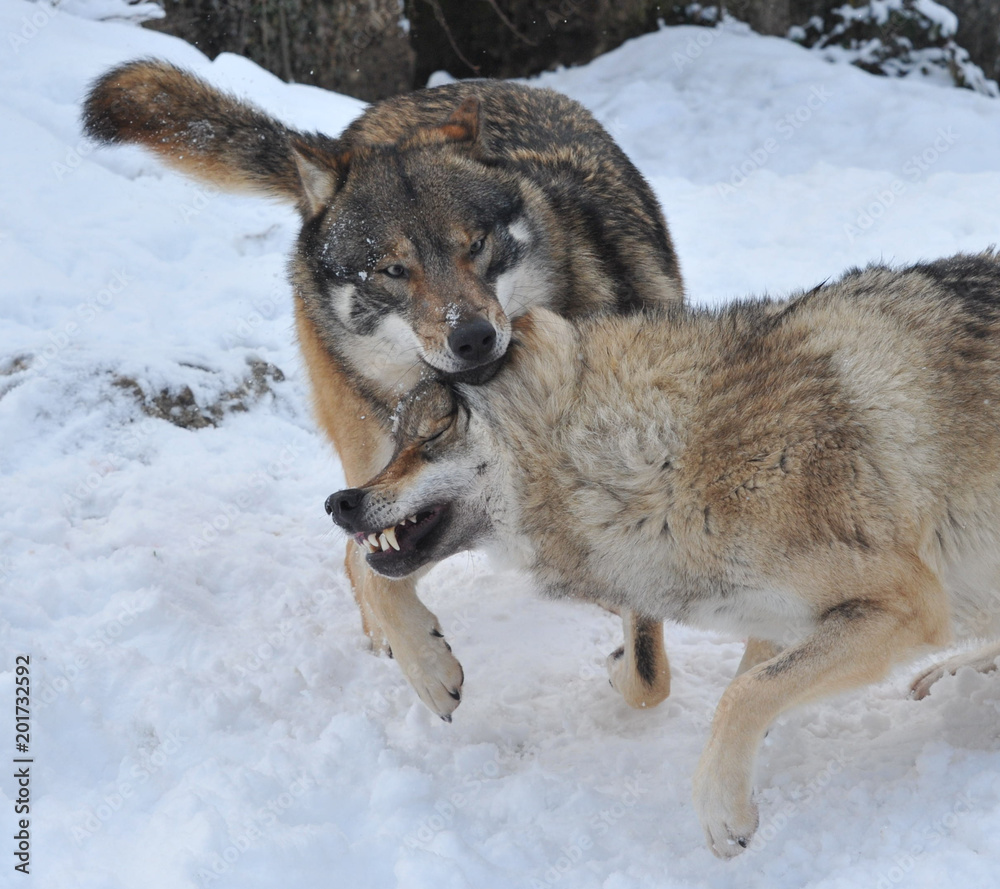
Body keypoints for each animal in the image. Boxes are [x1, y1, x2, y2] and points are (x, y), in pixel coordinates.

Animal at [82, 59, 683, 718]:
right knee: (358, 554)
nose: (473, 338)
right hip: (374, 446)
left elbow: (649, 675)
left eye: (475, 246)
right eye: (393, 270)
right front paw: (427, 665)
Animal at [327, 251, 1000, 855]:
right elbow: (738, 684)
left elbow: (742, 695)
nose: (340, 502)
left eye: (434, 432)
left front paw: (722, 811)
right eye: (397, 443)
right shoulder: (784, 618)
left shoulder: (907, 605)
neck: (665, 455)